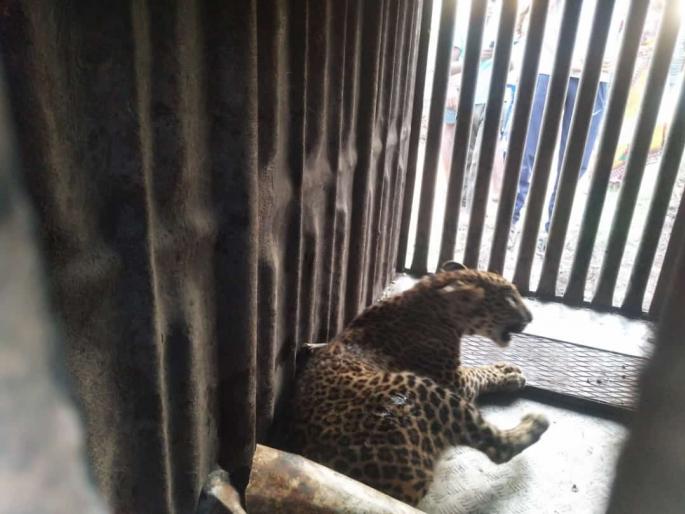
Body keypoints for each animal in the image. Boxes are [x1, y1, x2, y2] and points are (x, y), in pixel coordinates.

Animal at [289, 261, 549, 506]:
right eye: (510, 298)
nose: (531, 317)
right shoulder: (455, 382)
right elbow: (478, 372)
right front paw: (508, 372)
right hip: (422, 388)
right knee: (499, 448)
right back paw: (536, 422)